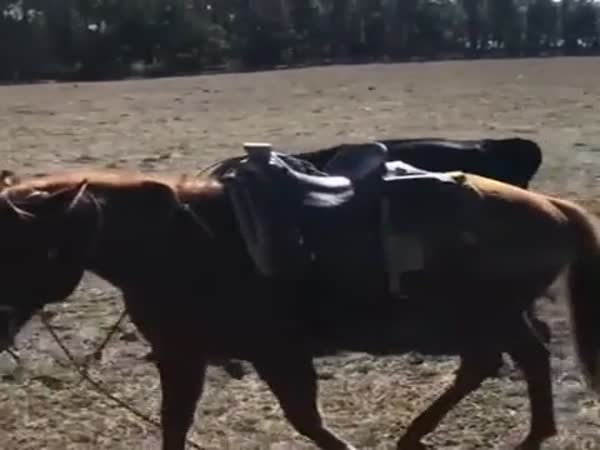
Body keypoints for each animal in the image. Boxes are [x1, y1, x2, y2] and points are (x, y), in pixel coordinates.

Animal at [0, 170, 600, 450]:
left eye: (22, 245)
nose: (2, 324)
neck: (180, 246)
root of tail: (553, 207)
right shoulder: (181, 357)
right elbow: (175, 423)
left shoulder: (277, 353)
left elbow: (305, 419)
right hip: (494, 317)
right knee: (512, 358)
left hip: (488, 316)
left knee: (507, 359)